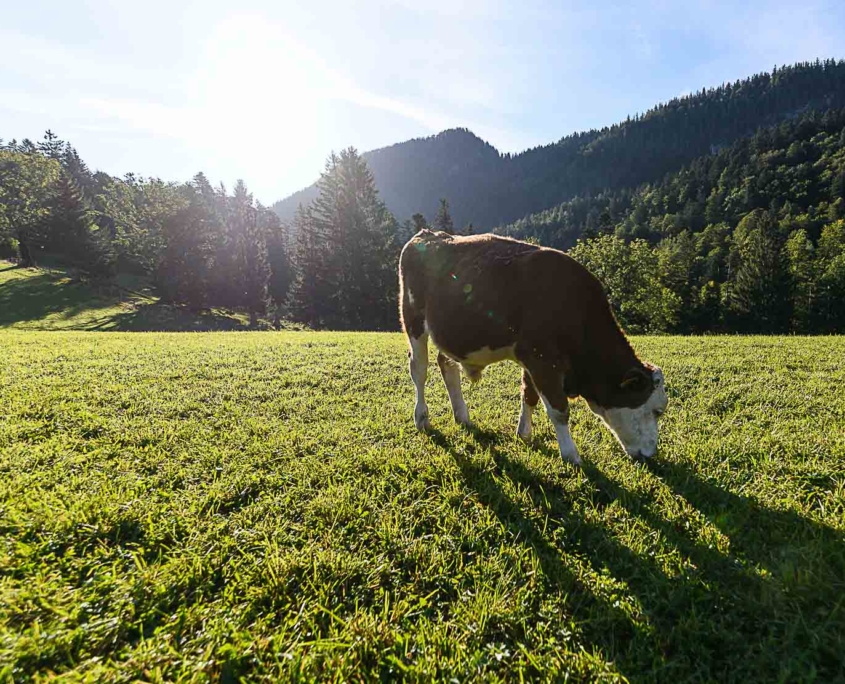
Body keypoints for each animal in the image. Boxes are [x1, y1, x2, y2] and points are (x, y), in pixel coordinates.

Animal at [398, 230, 668, 464]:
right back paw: (421, 417)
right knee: (419, 370)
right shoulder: (543, 360)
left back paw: (462, 416)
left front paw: (524, 433)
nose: (651, 454)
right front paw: (570, 454)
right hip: (412, 319)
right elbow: (559, 409)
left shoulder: (532, 357)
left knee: (447, 365)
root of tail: (427, 234)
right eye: (657, 411)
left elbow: (528, 394)